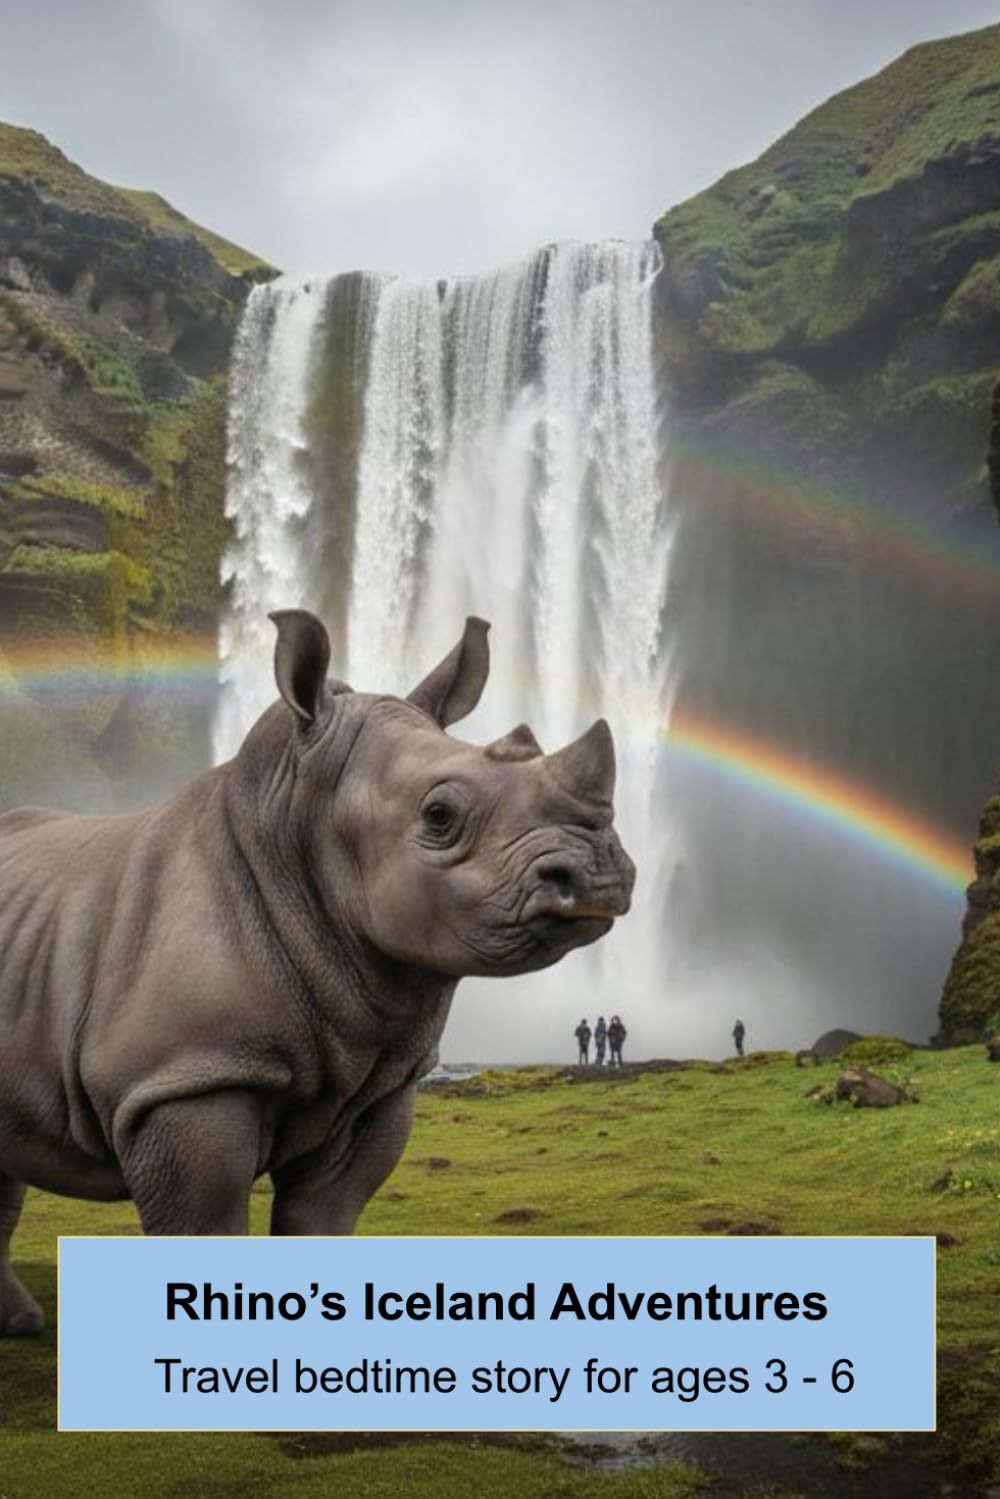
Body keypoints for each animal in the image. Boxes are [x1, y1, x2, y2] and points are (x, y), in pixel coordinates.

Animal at [0, 611, 635, 1334]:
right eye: (439, 815)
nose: (596, 872)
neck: (292, 833)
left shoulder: (374, 1085)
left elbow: (325, 1219)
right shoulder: (182, 1077)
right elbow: (203, 1225)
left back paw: (21, 1325)